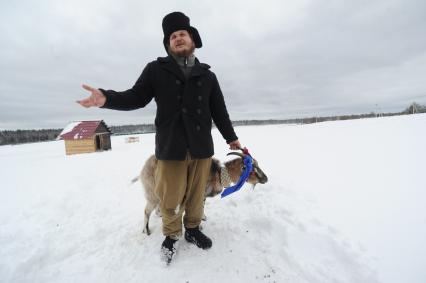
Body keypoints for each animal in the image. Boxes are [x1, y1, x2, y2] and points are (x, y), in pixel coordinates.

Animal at [131, 152, 268, 236]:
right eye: (252, 168)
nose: (266, 179)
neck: (218, 173)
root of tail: (142, 170)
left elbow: (201, 208)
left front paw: (204, 218)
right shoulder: (198, 193)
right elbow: (197, 209)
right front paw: (199, 226)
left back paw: (159, 215)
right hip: (152, 192)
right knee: (146, 211)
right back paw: (146, 231)